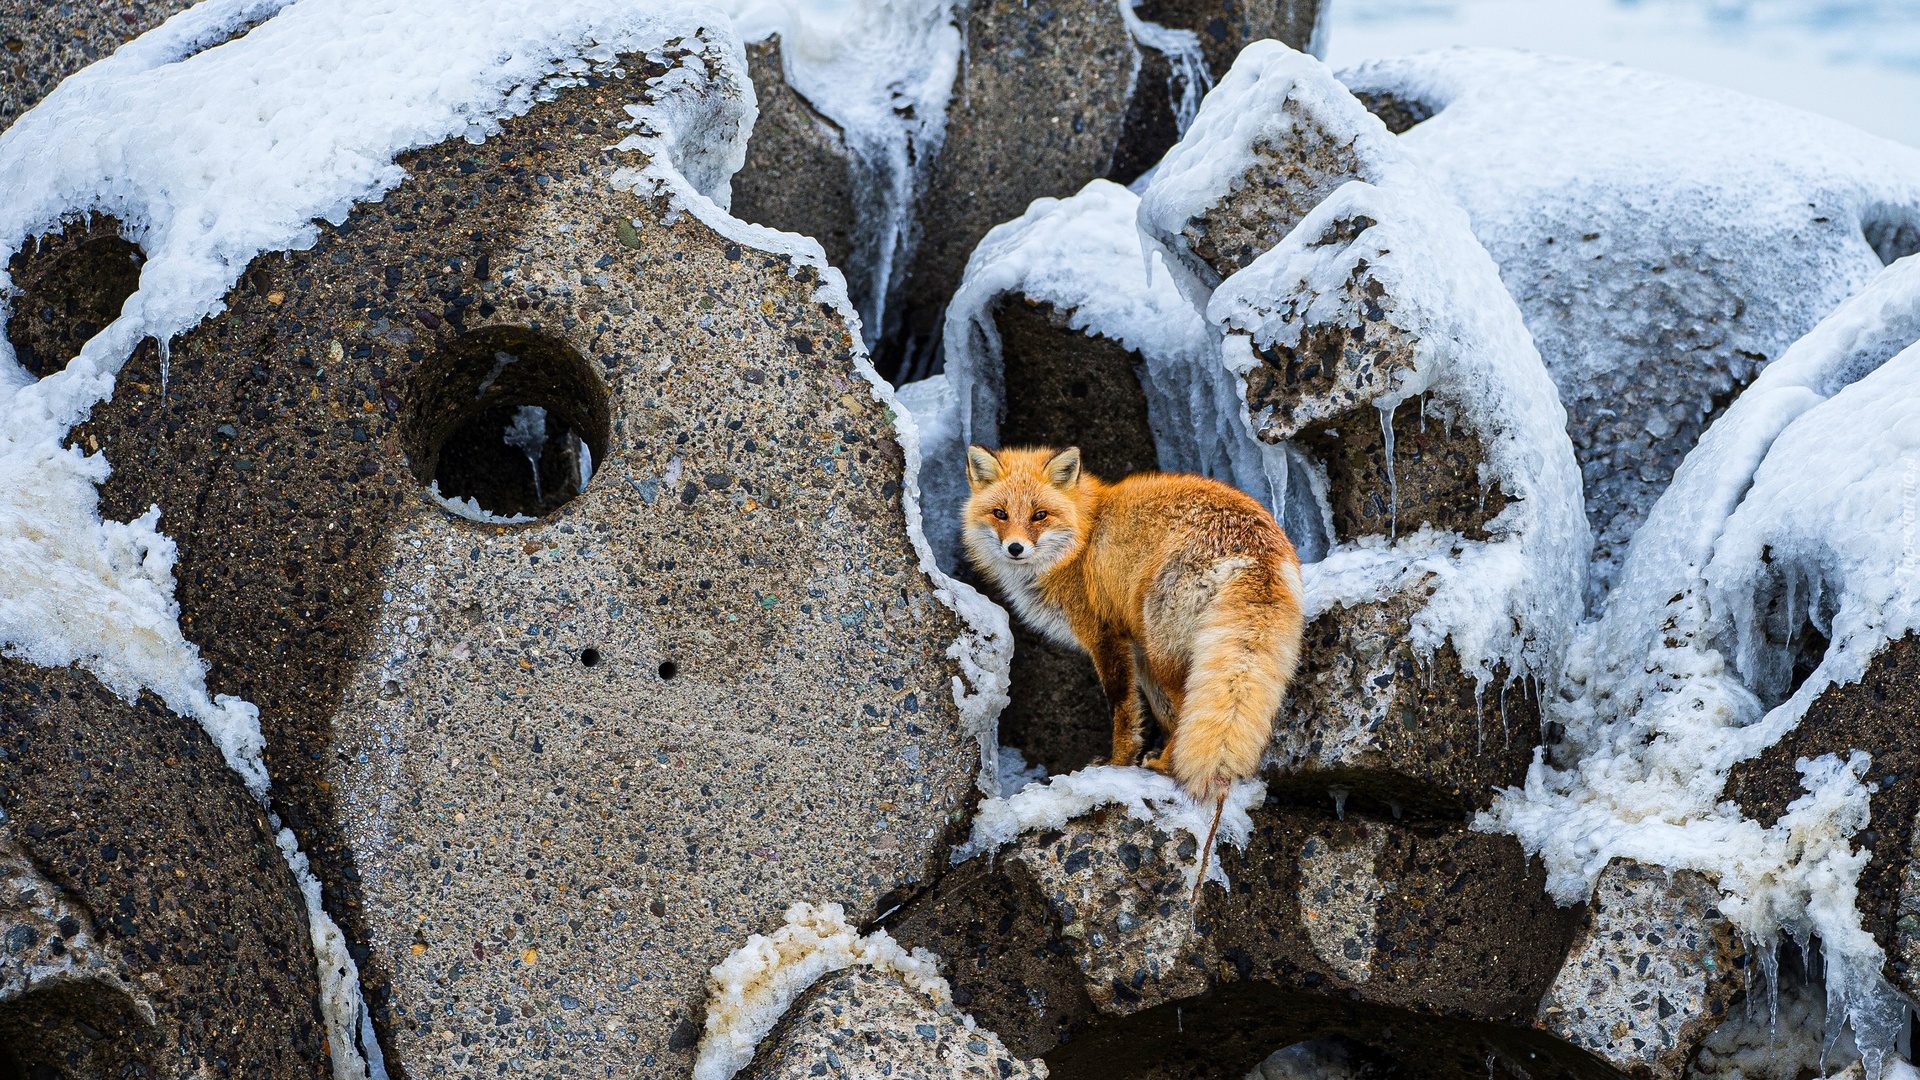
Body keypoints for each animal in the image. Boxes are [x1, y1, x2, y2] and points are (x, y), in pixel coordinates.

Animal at [960, 445, 1305, 807]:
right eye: (1000, 513)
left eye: (1039, 515)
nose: (1015, 548)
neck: (1081, 542)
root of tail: (1254, 548)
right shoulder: (1137, 648)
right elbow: (1162, 713)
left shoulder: (1106, 637)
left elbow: (1123, 709)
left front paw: (1118, 763)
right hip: (1163, 649)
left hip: (1164, 650)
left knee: (1187, 707)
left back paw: (1165, 767)